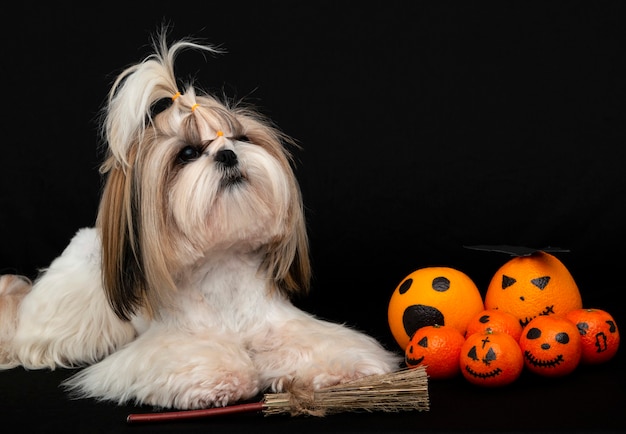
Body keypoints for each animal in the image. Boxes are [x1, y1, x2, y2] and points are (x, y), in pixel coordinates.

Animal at [0, 34, 400, 410]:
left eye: (241, 138)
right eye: (188, 153)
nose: (228, 154)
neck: (221, 263)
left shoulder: (279, 323)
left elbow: (314, 342)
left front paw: (344, 369)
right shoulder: (171, 342)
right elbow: (194, 356)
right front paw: (220, 380)